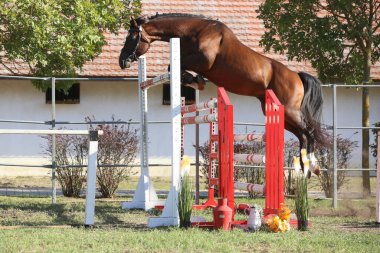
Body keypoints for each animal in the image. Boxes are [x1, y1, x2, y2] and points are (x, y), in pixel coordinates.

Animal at [119, 12, 326, 173]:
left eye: (131, 37)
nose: (122, 61)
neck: (193, 32)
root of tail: (296, 76)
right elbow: (176, 69)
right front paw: (196, 81)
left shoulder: (203, 60)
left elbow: (173, 67)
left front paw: (196, 82)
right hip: (277, 112)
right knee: (301, 135)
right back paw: (304, 167)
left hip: (290, 110)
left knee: (309, 132)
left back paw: (313, 165)